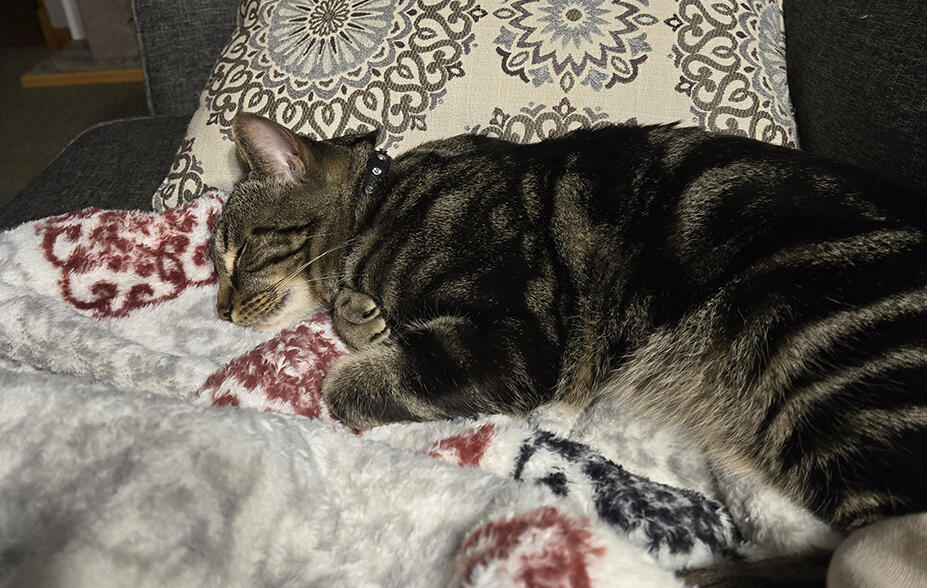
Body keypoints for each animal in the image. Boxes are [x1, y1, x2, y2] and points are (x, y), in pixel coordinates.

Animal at [210, 112, 926, 584]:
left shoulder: (517, 341)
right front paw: (363, 316)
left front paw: (357, 327)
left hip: (826, 370)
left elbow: (344, 383)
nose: (218, 308)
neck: (381, 202)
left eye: (237, 253)